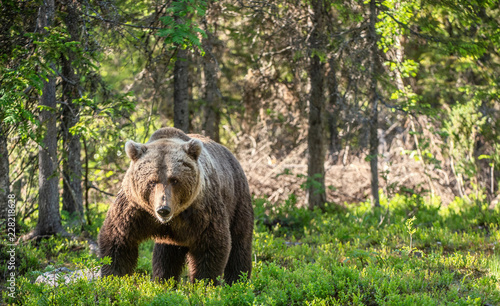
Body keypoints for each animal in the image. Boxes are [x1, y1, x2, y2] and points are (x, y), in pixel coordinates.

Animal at [98, 126, 254, 284]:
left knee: (240, 243)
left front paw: (203, 283)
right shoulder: (134, 209)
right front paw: (113, 279)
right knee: (166, 255)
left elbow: (211, 245)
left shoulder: (202, 211)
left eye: (174, 180)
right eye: (152, 181)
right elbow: (118, 241)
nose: (163, 209)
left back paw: (238, 281)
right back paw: (164, 280)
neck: (175, 215)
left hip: (237, 201)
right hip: (171, 238)